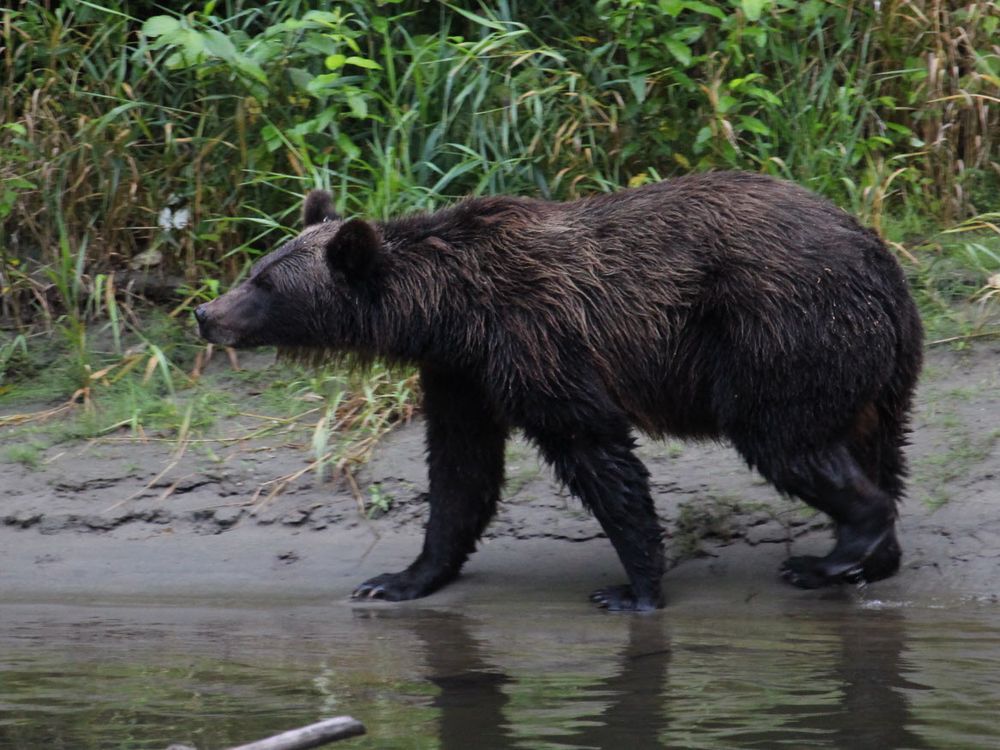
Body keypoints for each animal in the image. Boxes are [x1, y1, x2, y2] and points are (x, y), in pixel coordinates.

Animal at [199, 173, 924, 612]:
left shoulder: (536, 340)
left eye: (264, 284)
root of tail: (881, 262)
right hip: (876, 371)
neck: (449, 311)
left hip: (779, 336)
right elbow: (460, 471)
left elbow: (591, 448)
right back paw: (873, 560)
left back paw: (835, 553)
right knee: (878, 448)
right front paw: (398, 579)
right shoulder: (461, 372)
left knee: (785, 440)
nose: (207, 313)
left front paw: (633, 587)